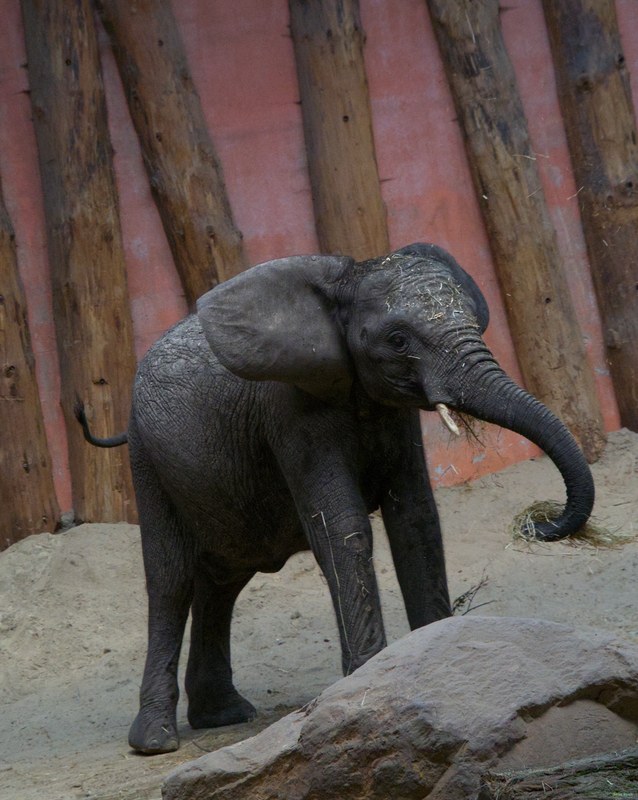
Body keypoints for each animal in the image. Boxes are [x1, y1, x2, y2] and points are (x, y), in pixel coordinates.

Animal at [76, 242, 594, 754]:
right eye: (398, 340)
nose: (539, 522)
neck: (345, 283)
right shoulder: (289, 412)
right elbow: (342, 529)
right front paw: (367, 682)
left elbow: (416, 522)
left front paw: (431, 659)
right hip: (147, 461)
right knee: (171, 580)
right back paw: (156, 741)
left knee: (223, 578)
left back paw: (222, 716)